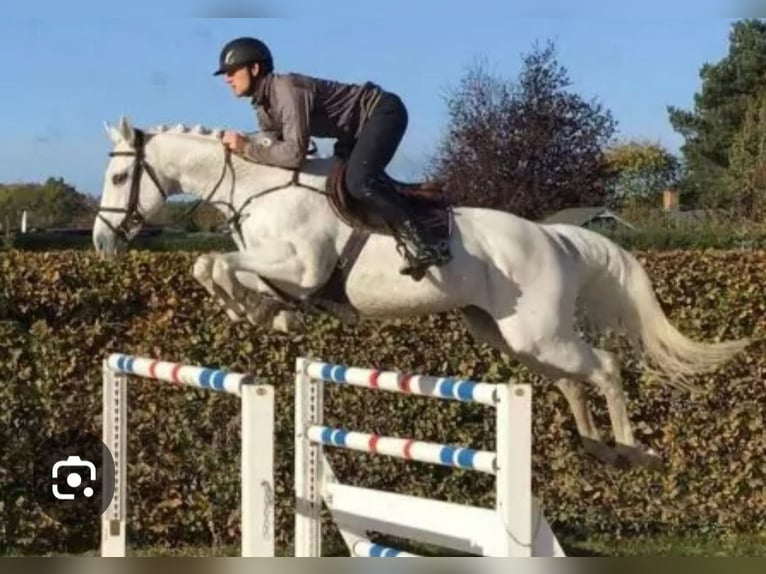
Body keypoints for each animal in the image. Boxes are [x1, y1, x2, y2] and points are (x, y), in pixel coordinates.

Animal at [93, 116, 752, 468]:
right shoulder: (281, 268)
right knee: (571, 379)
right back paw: (597, 447)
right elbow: (216, 268)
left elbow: (213, 263)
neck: (259, 185)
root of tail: (554, 235)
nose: (100, 241)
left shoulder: (301, 264)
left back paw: (630, 450)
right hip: (511, 334)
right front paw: (269, 315)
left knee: (607, 365)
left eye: (121, 175)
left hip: (536, 332)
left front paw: (261, 313)